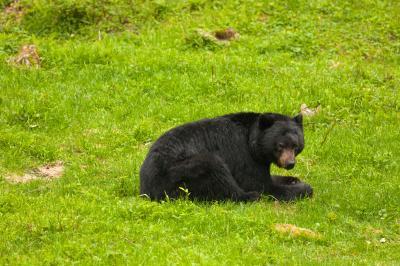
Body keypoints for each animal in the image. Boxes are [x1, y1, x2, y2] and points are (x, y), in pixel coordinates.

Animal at [141, 112, 312, 202]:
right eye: (281, 145)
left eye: (295, 146)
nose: (290, 163)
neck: (252, 141)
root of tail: (147, 188)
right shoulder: (243, 155)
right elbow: (260, 184)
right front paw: (304, 188)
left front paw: (293, 179)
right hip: (182, 171)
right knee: (217, 173)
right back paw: (249, 196)